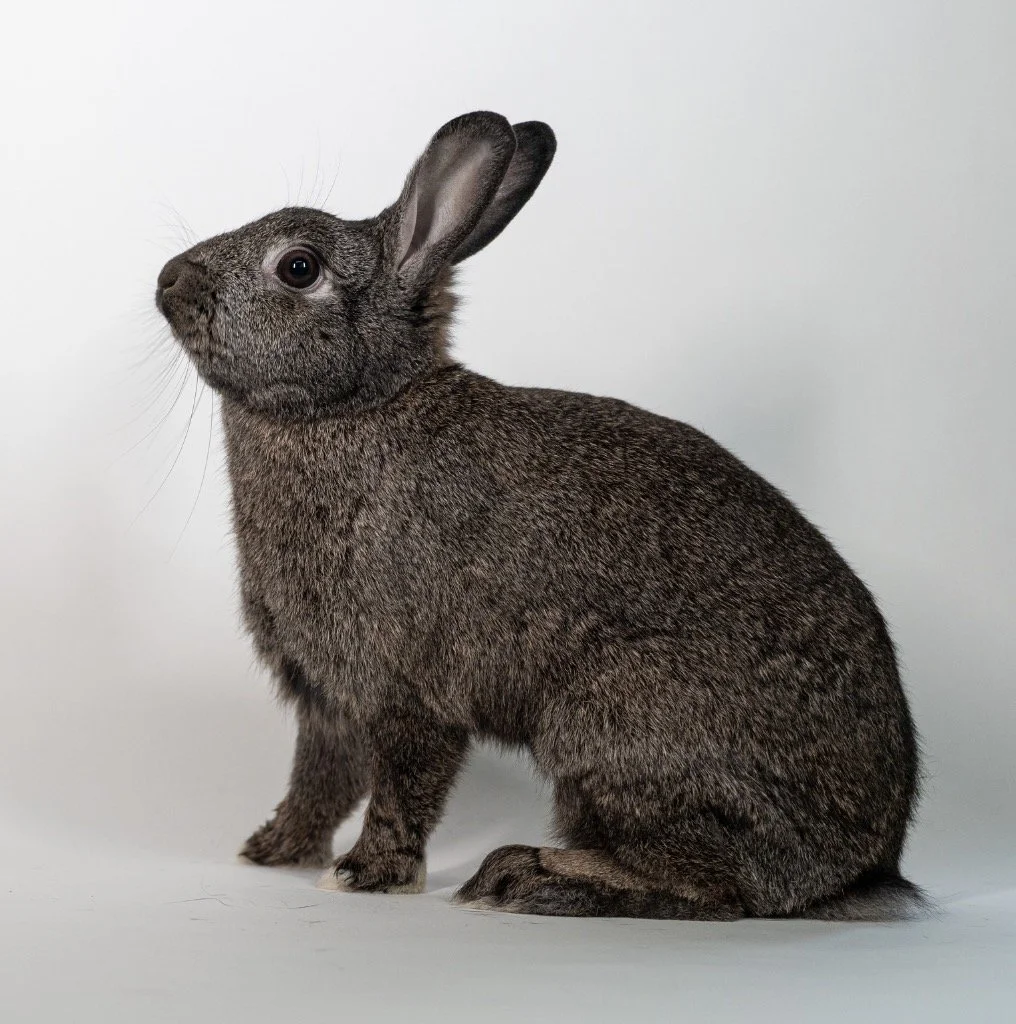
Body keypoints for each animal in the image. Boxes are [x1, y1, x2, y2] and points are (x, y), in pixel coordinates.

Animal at [155, 111, 926, 920]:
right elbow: (319, 778)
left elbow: (403, 783)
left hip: (615, 715)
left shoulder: (410, 686)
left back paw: (522, 875)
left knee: (718, 886)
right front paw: (272, 851)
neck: (356, 405)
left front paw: (366, 874)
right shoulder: (325, 695)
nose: (169, 279)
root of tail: (860, 865)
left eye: (298, 268)